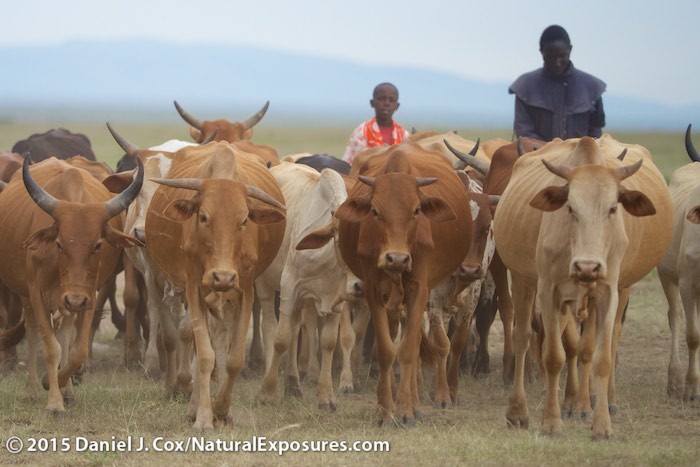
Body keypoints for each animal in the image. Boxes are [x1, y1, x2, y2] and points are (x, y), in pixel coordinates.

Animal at [0, 155, 143, 412]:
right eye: (59, 243)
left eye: (98, 245)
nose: (74, 299)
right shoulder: (36, 293)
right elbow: (50, 347)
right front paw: (54, 402)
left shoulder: (89, 295)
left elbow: (77, 350)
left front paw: (57, 384)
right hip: (27, 295)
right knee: (32, 331)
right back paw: (31, 390)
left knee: (66, 331)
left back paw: (65, 390)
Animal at [144, 140, 286, 429]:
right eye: (203, 217)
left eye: (244, 219)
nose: (223, 277)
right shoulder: (194, 290)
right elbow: (205, 357)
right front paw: (203, 417)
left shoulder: (245, 292)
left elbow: (233, 359)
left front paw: (222, 408)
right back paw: (193, 405)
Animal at [304, 140, 473, 426]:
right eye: (375, 211)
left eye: (416, 210)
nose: (397, 258)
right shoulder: (372, 289)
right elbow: (385, 349)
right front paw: (385, 409)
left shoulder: (420, 289)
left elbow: (408, 350)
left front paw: (405, 410)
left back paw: (415, 403)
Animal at [493, 135, 672, 439]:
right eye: (570, 207)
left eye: (613, 208)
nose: (587, 267)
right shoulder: (549, 292)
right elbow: (554, 356)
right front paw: (552, 422)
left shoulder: (608, 292)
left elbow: (599, 356)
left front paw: (599, 423)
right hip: (522, 280)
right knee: (522, 337)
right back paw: (517, 412)